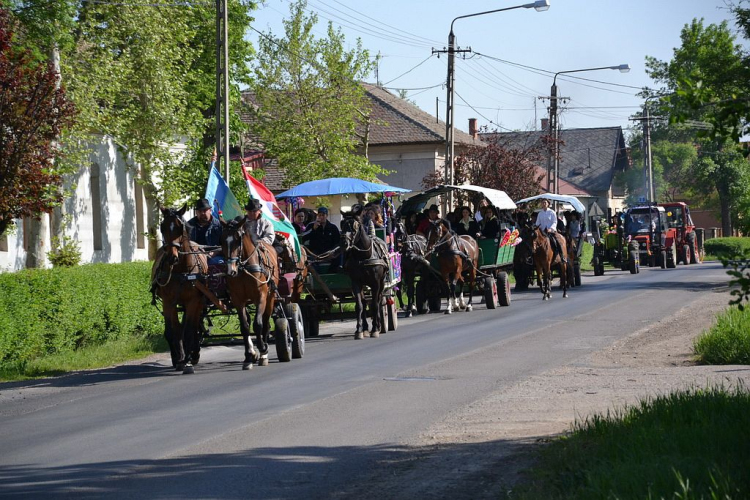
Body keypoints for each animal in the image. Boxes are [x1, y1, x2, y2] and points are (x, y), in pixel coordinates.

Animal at [151, 205, 209, 374]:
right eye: (162, 227)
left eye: (179, 227)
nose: (172, 257)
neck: (181, 270)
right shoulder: (168, 302)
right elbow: (173, 331)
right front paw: (178, 359)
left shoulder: (193, 301)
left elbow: (189, 331)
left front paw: (187, 360)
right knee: (179, 329)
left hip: (198, 303)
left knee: (194, 326)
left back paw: (193, 354)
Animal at [223, 217, 282, 370]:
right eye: (222, 240)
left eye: (238, 240)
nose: (231, 271)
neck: (244, 268)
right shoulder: (238, 300)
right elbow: (245, 326)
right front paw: (249, 357)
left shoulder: (261, 297)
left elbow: (258, 324)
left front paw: (263, 349)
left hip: (270, 298)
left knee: (266, 323)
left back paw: (263, 352)